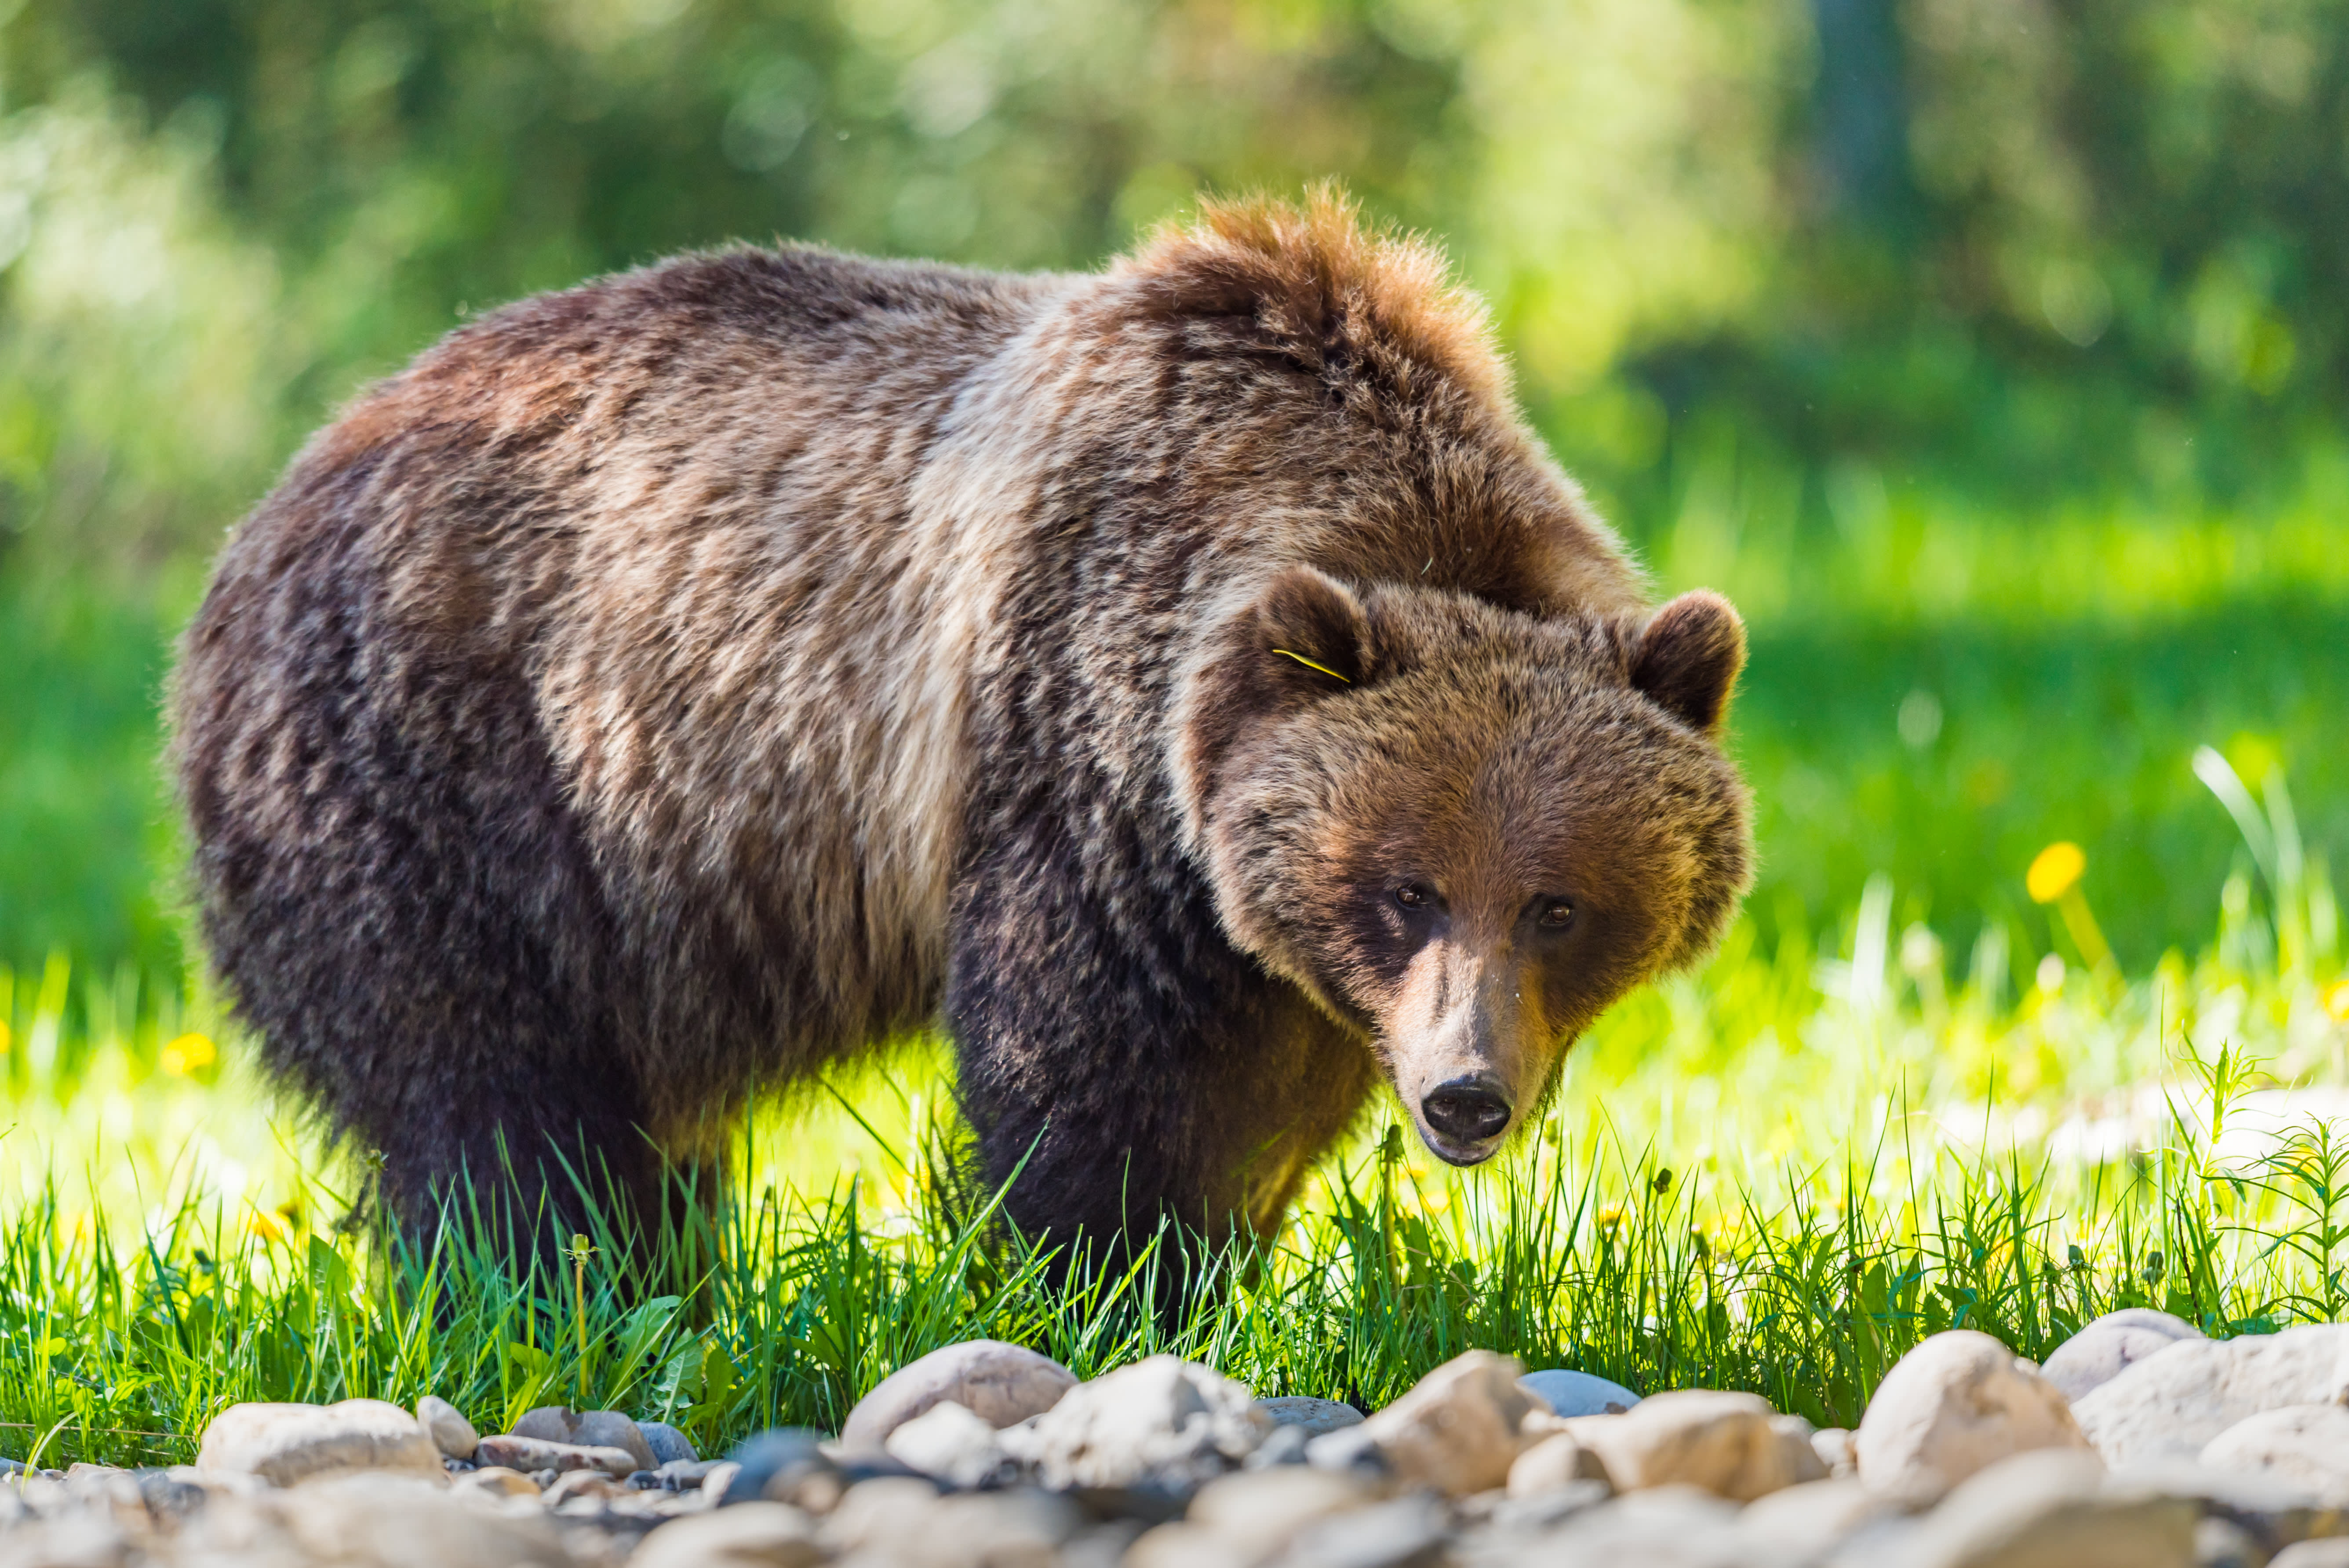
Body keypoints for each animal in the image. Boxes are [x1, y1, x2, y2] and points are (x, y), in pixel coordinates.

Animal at [174, 190, 1757, 1267]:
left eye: (1557, 901)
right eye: (1405, 886)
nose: (1465, 1095)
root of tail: (266, 507)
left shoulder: (1263, 927)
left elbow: (1267, 1098)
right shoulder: (1081, 748)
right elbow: (1092, 1072)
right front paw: (1114, 1272)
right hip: (448, 769)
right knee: (488, 1094)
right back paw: (558, 1282)